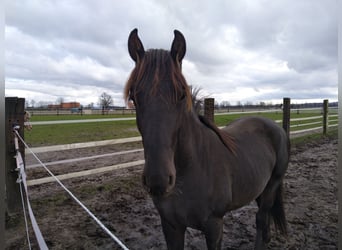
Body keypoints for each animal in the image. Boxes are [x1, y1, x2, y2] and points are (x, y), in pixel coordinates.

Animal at [123, 28, 288, 248]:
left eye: (182, 95)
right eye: (133, 97)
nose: (158, 180)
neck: (193, 168)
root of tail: (275, 126)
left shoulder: (214, 226)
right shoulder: (171, 226)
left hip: (272, 186)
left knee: (261, 220)